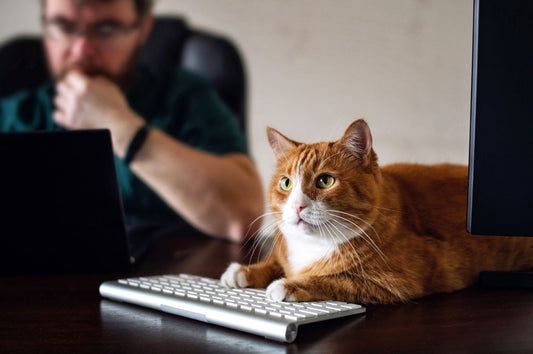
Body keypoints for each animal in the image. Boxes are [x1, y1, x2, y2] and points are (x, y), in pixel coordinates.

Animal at [219, 119, 532, 304]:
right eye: (286, 183)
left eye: (325, 181)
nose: (297, 205)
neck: (315, 246)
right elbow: (276, 261)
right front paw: (245, 271)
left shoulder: (395, 281)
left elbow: (335, 280)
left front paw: (288, 285)